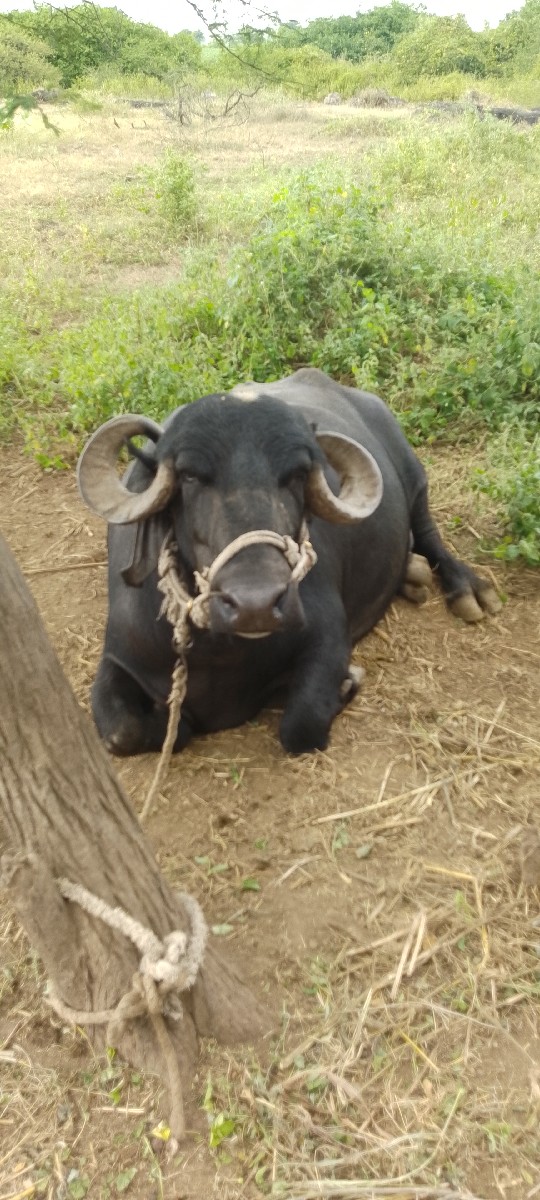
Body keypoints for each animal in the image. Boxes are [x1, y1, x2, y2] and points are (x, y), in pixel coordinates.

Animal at [77, 368, 501, 757]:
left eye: (296, 474)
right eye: (189, 476)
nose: (257, 605)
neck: (217, 652)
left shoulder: (329, 639)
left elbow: (302, 726)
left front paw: (346, 683)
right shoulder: (117, 656)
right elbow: (127, 732)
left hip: (415, 479)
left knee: (428, 533)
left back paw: (468, 590)